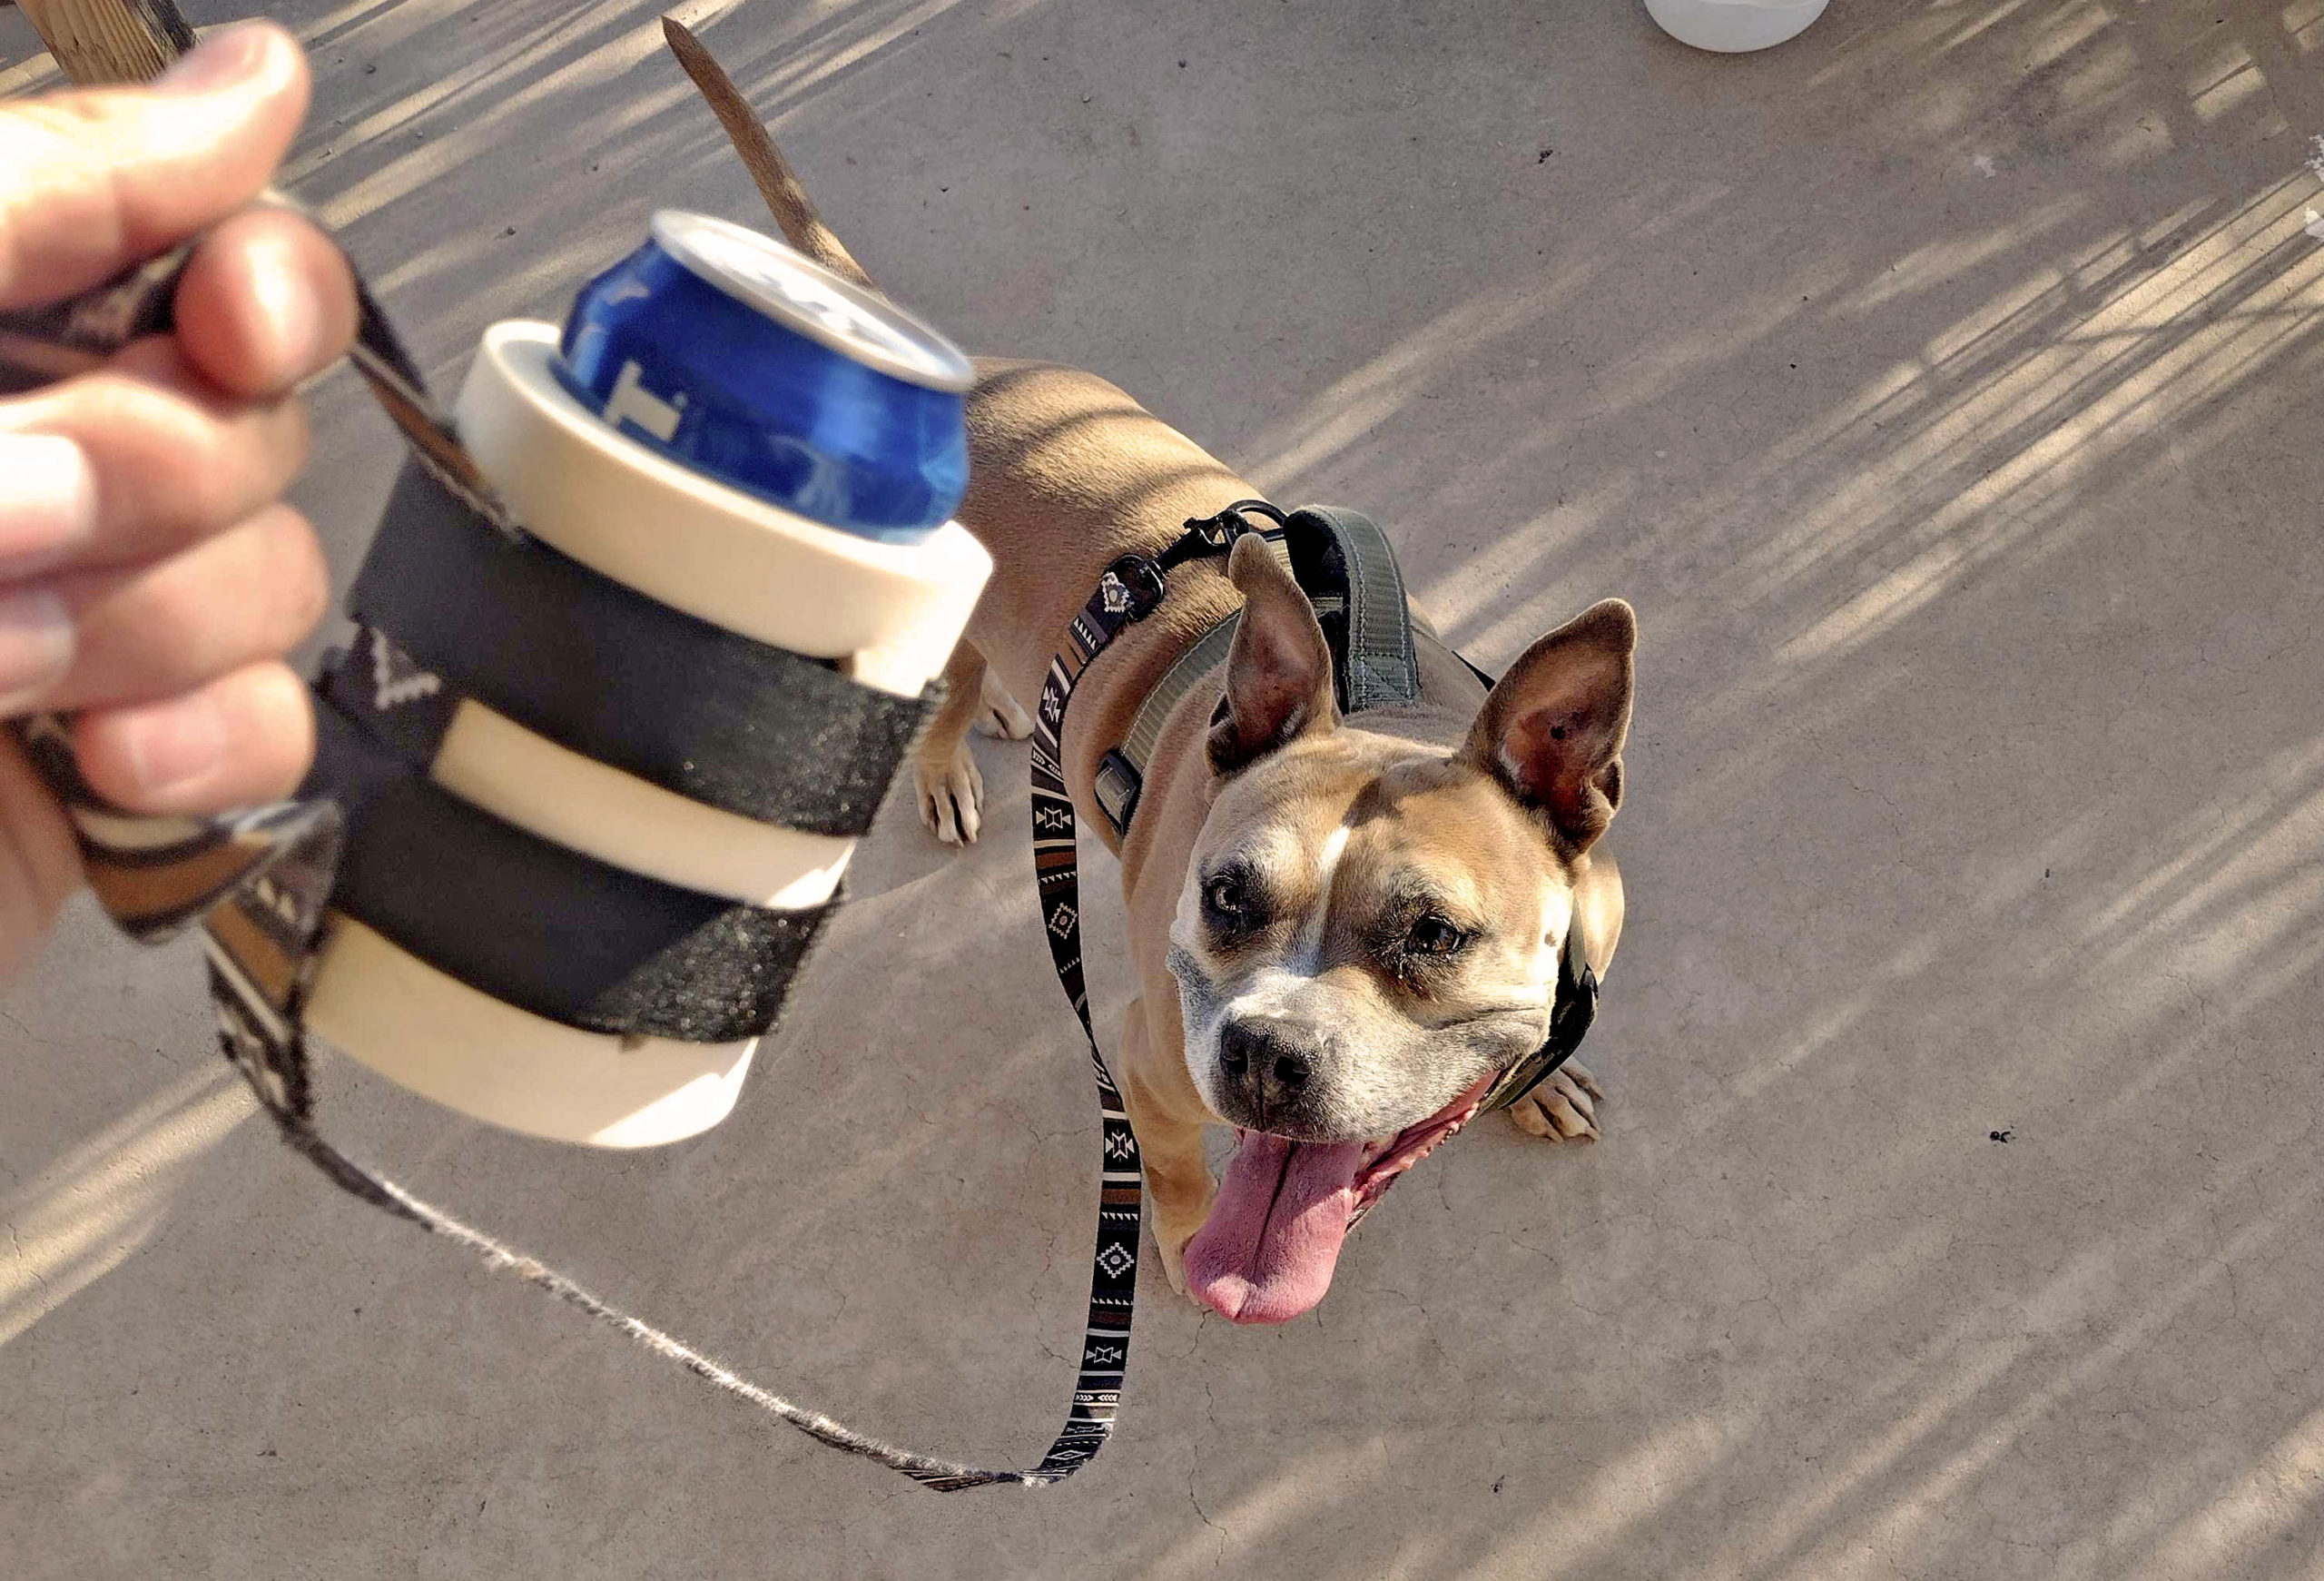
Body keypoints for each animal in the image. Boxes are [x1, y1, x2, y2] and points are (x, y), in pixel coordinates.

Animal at [669, 21, 1636, 1320]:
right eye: (1225, 894)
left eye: (1434, 936)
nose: (1265, 1053)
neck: (1387, 702)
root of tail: (974, 375)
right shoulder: (1140, 1058)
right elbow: (1172, 1172)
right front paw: (1178, 1243)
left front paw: (1536, 1086)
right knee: (938, 696)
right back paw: (948, 764)